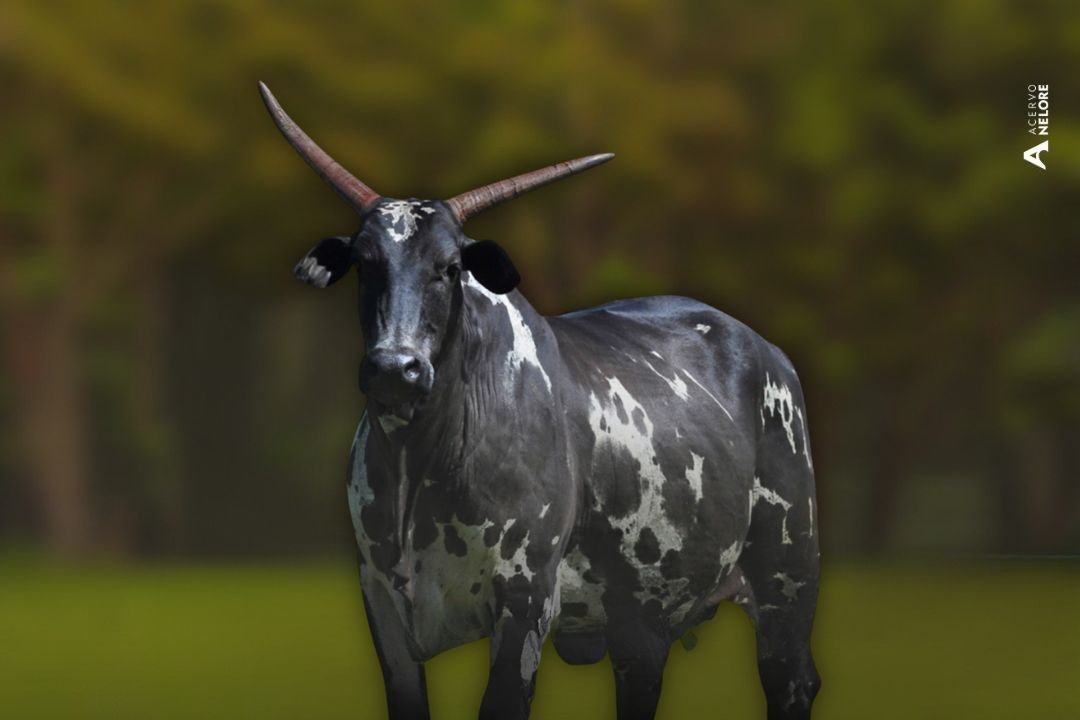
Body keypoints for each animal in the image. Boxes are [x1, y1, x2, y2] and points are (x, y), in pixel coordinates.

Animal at [259, 82, 821, 720]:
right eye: (365, 263)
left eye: (450, 267)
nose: (395, 368)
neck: (420, 463)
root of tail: (765, 347)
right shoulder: (381, 600)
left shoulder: (525, 596)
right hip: (641, 621)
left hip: (787, 580)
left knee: (791, 678)